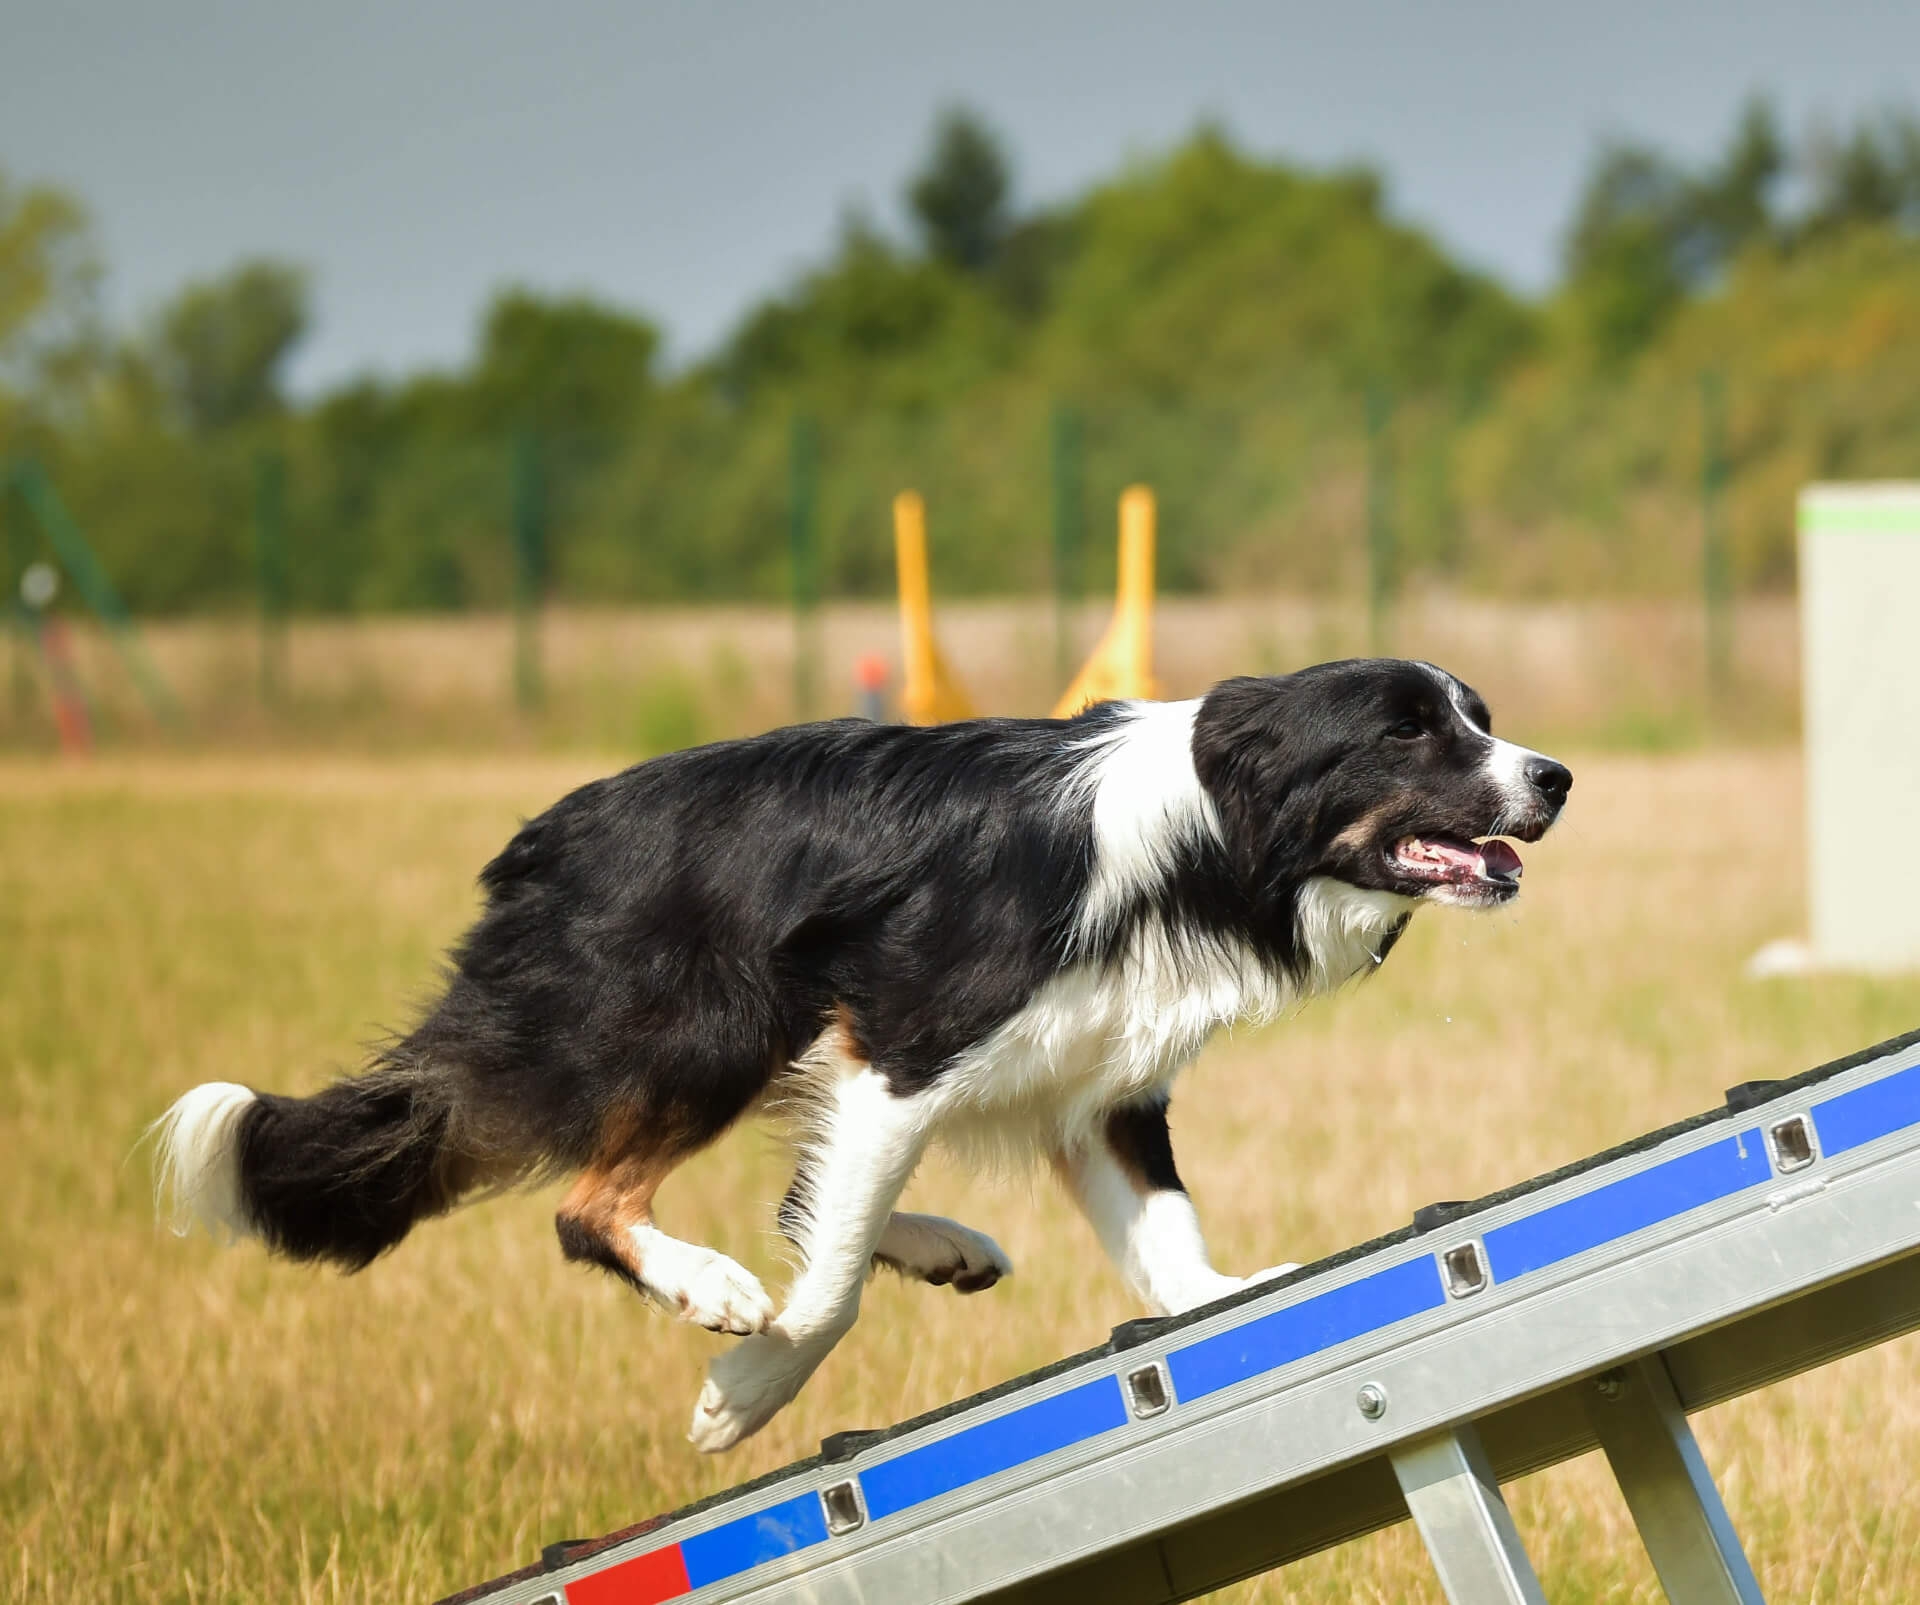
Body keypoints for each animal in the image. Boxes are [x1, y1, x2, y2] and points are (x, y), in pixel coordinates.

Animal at [157, 656, 1566, 1451]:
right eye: (1410, 733)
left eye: (1478, 717)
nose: (1554, 776)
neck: (1208, 837)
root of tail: (537, 850)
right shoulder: (902, 1041)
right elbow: (826, 1285)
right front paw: (747, 1388)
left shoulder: (1097, 1085)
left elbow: (1164, 1235)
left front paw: (1223, 1302)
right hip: (714, 1020)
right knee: (593, 1204)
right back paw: (716, 1286)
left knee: (784, 1185)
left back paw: (935, 1243)